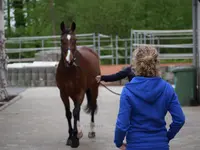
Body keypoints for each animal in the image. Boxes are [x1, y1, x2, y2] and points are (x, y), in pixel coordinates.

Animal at [55, 20, 101, 148]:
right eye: (62, 40)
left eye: (75, 40)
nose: (69, 60)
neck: (69, 70)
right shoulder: (63, 94)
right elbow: (69, 113)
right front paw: (71, 136)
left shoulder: (80, 92)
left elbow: (75, 112)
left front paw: (74, 139)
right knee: (77, 109)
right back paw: (79, 132)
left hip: (93, 90)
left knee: (92, 107)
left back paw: (91, 131)